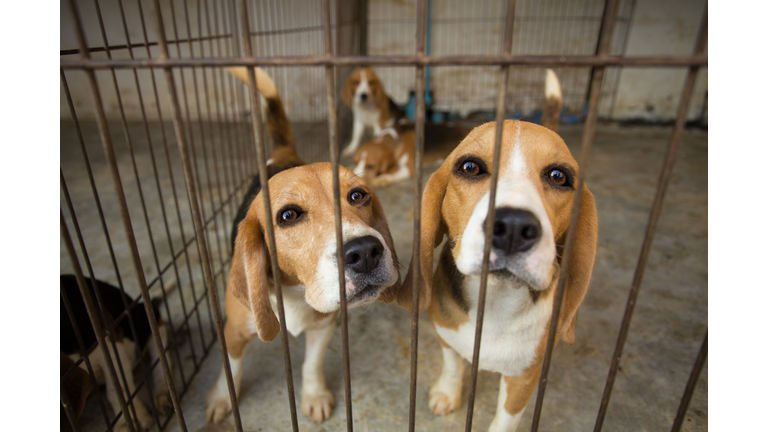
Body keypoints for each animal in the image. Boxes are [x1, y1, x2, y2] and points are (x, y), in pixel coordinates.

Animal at [60, 276, 174, 430]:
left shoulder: (109, 341)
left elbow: (116, 390)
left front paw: (132, 420)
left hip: (147, 317)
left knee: (161, 358)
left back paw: (161, 394)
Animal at [207, 66, 402, 424]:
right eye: (288, 215)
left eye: (358, 195)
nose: (366, 252)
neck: (296, 292)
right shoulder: (234, 332)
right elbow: (232, 368)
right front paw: (221, 398)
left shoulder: (324, 325)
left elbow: (311, 364)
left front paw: (314, 394)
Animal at [392, 71, 596, 432]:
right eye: (470, 167)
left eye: (559, 176)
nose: (513, 227)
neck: (495, 303)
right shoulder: (445, 334)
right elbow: (453, 364)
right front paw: (448, 392)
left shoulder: (524, 378)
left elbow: (506, 418)